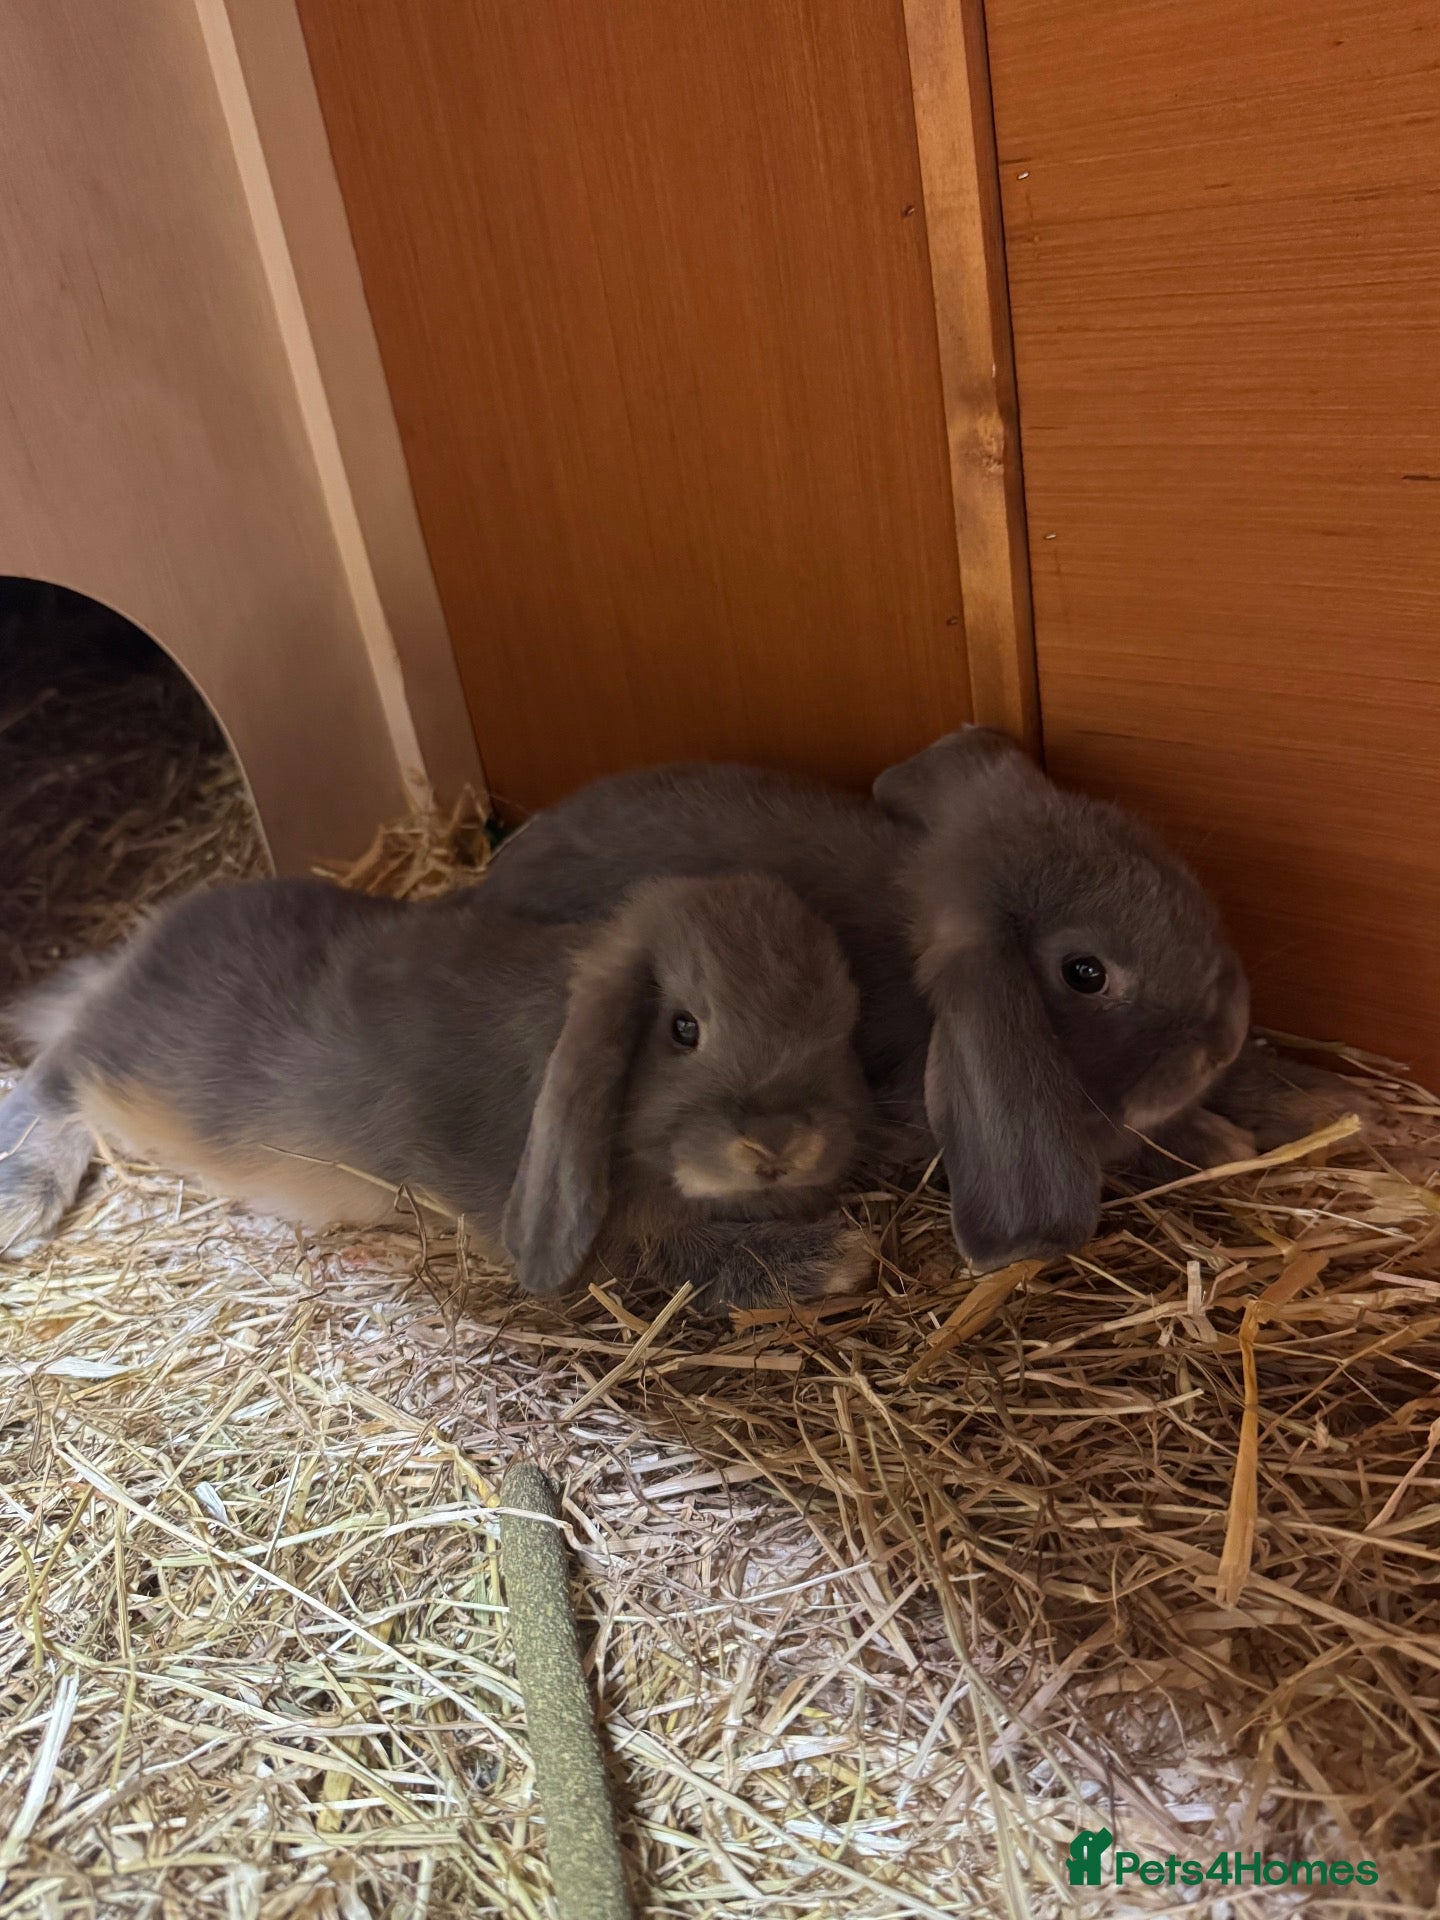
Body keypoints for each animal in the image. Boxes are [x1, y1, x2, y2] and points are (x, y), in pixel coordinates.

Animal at [0, 872, 872, 1314]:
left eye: (843, 1018)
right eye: (683, 1028)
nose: (780, 1146)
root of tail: (135, 952)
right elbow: (679, 1256)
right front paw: (840, 1258)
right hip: (130, 1070)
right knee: (53, 1077)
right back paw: (23, 1201)